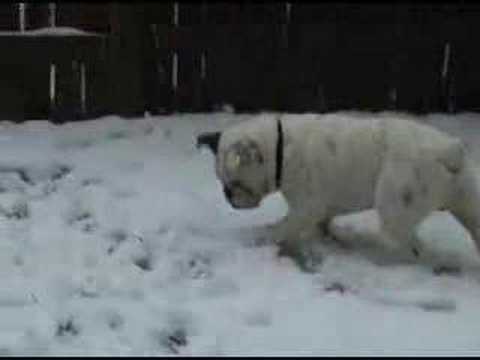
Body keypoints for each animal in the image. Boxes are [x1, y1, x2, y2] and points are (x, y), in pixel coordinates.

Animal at [196, 114, 480, 262]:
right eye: (222, 183)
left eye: (236, 184)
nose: (228, 197)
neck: (280, 147)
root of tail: (449, 151)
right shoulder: (324, 206)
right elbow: (324, 222)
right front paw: (329, 238)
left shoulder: (306, 207)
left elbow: (285, 226)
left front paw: (264, 237)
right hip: (468, 201)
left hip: (396, 206)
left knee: (411, 248)